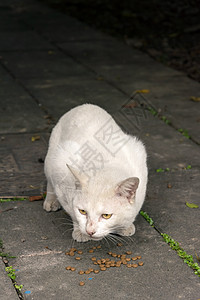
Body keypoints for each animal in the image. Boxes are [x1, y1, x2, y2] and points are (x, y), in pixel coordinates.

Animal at [43, 103, 147, 241]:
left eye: (106, 215)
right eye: (82, 211)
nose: (90, 231)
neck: (106, 164)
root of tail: (84, 105)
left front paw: (125, 227)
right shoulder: (61, 170)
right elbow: (71, 210)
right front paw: (80, 232)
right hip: (52, 158)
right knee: (49, 181)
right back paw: (51, 201)